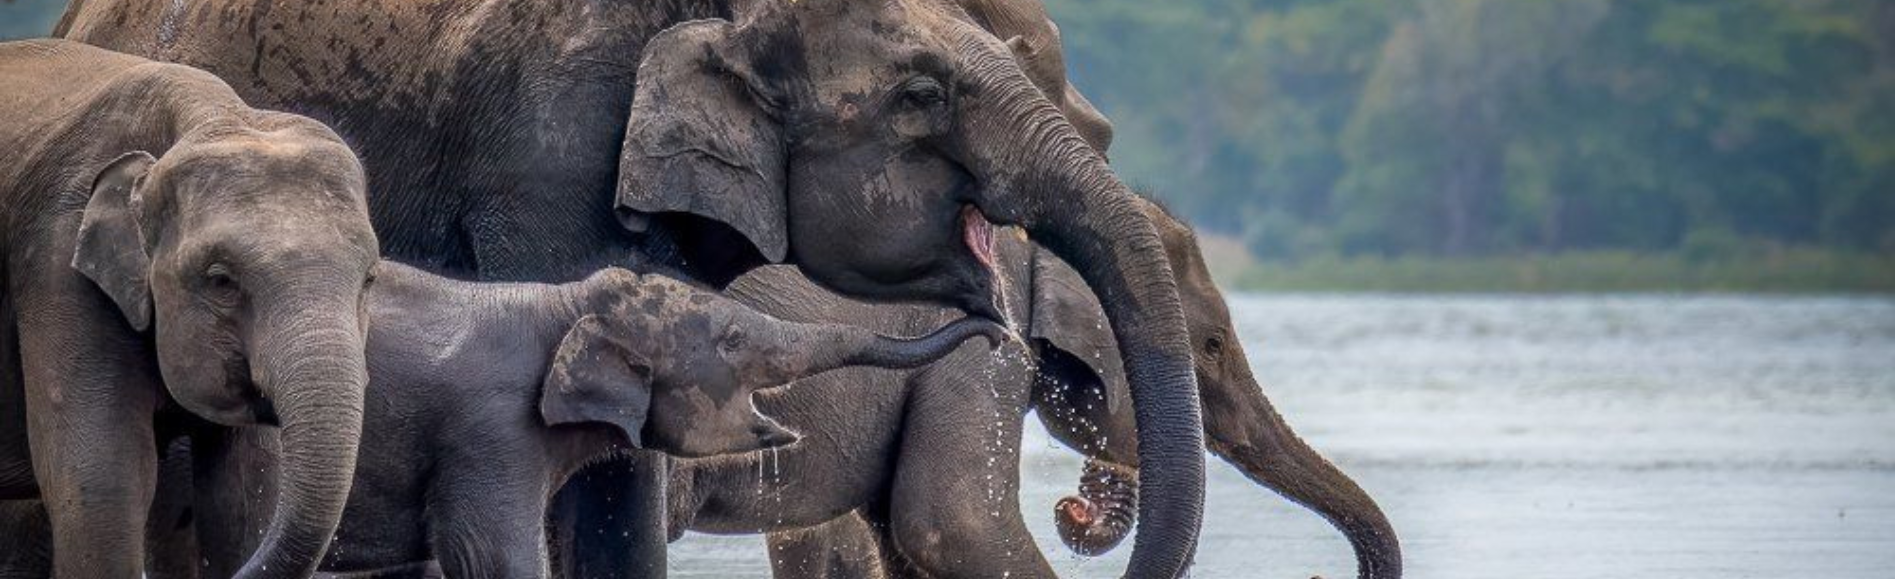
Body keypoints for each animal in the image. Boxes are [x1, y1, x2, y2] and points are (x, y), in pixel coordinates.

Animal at [0, 40, 379, 578]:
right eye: (221, 281)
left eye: (369, 279)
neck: (216, 115)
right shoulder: (56, 262)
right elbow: (102, 483)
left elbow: (244, 492)